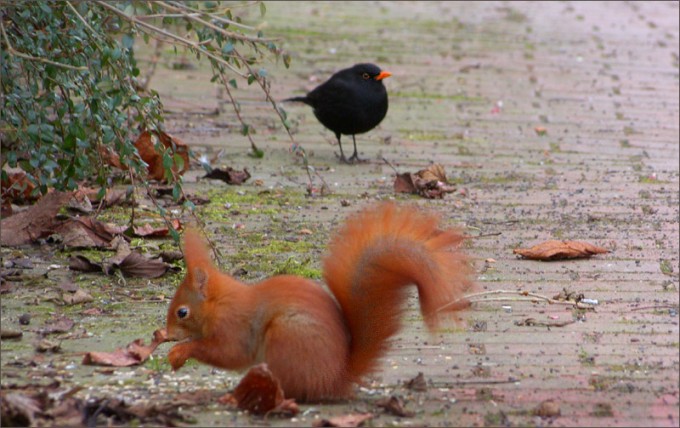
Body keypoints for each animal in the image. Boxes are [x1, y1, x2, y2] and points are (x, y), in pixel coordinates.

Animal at [165, 203, 474, 402]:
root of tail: (334, 379)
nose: (164, 334)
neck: (219, 304)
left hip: (285, 341)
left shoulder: (235, 328)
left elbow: (227, 353)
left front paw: (181, 351)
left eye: (182, 312)